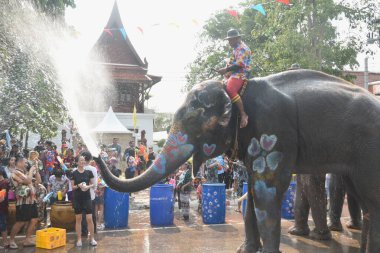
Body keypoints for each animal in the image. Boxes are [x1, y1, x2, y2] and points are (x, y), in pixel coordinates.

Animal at [96, 69, 380, 253]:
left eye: (191, 122)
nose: (97, 154)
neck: (237, 92)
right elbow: (252, 193)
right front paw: (245, 250)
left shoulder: (273, 133)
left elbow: (266, 192)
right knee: (365, 200)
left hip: (369, 150)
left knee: (372, 199)